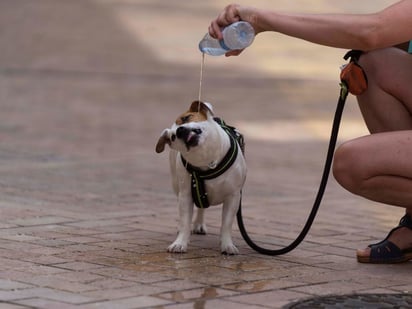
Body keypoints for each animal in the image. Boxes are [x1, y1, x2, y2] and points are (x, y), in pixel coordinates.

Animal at [156, 100, 246, 254]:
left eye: (186, 118)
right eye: (173, 137)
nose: (179, 131)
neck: (207, 160)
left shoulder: (233, 196)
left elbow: (226, 223)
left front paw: (227, 245)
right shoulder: (186, 195)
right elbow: (185, 221)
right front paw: (180, 242)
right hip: (177, 186)